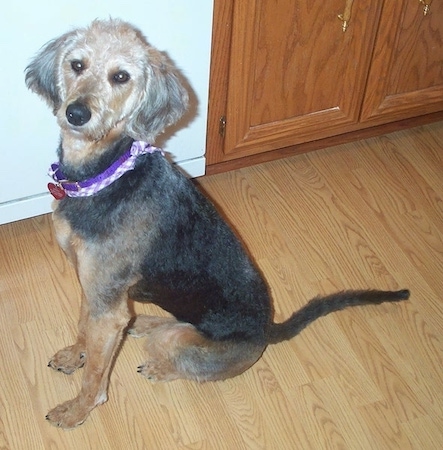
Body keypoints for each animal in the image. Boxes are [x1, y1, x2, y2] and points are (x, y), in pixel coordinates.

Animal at [26, 18, 412, 428]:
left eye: (121, 76)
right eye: (77, 64)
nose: (76, 113)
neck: (104, 174)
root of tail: (267, 330)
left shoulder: (107, 303)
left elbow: (95, 377)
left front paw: (75, 410)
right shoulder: (94, 287)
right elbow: (84, 328)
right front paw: (74, 355)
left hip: (180, 342)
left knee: (180, 359)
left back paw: (157, 363)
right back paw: (141, 323)